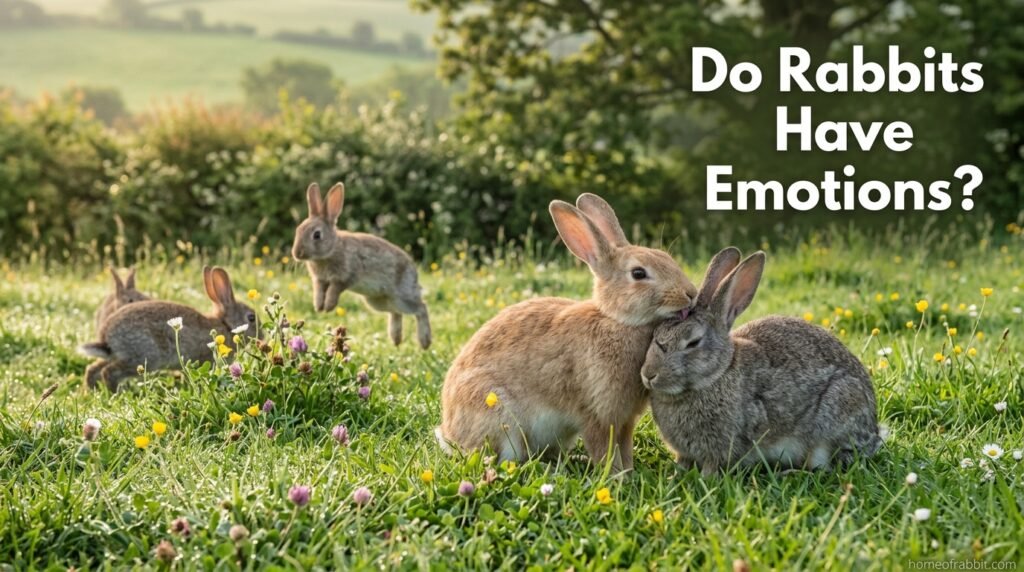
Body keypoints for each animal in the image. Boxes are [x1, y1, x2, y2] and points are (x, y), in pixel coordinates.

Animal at [79, 267, 259, 392]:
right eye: (251, 318)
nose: (262, 337)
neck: (226, 325)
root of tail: (106, 336)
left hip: (119, 355)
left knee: (93, 368)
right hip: (144, 357)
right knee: (109, 372)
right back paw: (115, 394)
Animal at [291, 182, 432, 349]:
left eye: (317, 235)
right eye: (298, 230)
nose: (297, 254)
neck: (332, 249)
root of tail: (414, 273)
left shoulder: (345, 277)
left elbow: (334, 291)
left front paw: (329, 306)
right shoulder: (319, 281)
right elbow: (319, 293)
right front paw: (319, 307)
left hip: (401, 296)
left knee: (421, 307)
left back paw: (424, 341)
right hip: (376, 301)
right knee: (395, 312)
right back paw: (396, 339)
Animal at [436, 193, 698, 473]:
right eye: (638, 273)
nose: (691, 293)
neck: (618, 320)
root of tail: (449, 434)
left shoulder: (625, 420)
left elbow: (624, 447)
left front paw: (629, 472)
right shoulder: (596, 414)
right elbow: (604, 449)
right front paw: (616, 477)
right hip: (499, 416)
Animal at [640, 247, 883, 476]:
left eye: (693, 342)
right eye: (655, 333)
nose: (648, 374)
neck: (718, 373)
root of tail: (873, 432)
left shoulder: (721, 448)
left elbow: (712, 468)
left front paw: (702, 481)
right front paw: (674, 476)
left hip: (834, 416)